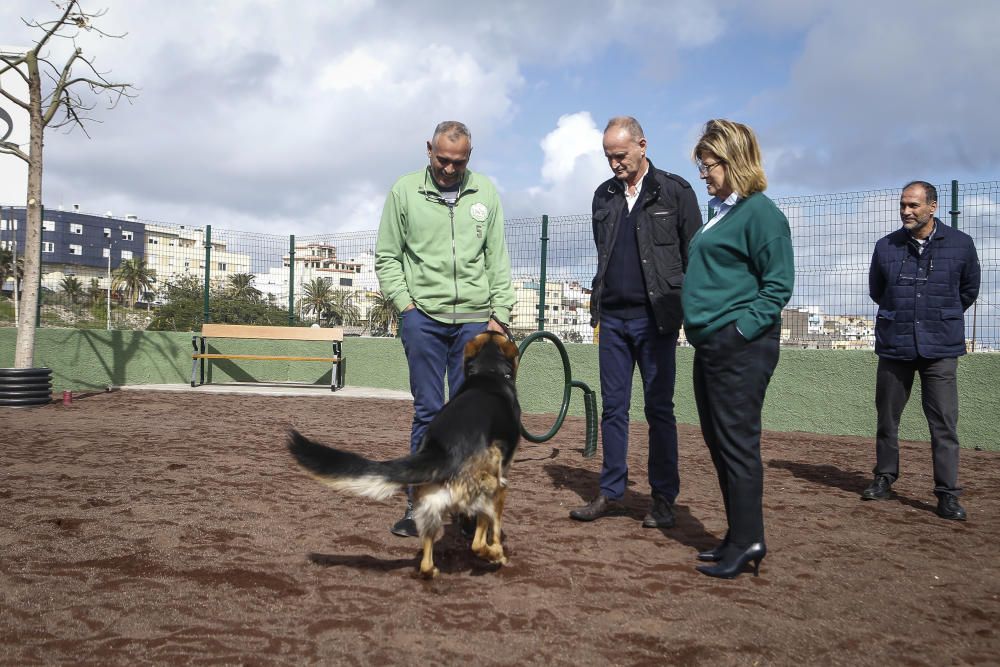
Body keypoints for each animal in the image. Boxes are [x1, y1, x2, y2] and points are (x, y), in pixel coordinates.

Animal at [288, 334, 524, 580]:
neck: (488, 371)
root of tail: (444, 449)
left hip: (430, 507)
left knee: (426, 564)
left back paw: (436, 570)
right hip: (493, 487)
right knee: (478, 544)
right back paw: (496, 555)